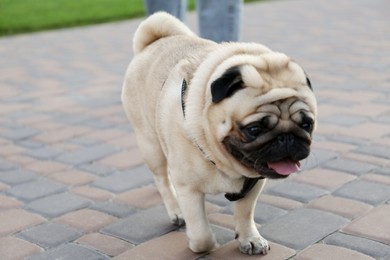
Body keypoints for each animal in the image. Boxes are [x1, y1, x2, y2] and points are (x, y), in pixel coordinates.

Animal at [122, 11, 316, 254]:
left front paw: (249, 238)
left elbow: (244, 214)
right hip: (151, 145)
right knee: (162, 180)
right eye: (254, 129)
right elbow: (200, 234)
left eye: (307, 124)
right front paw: (204, 246)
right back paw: (176, 211)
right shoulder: (188, 189)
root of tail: (154, 41)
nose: (287, 137)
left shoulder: (253, 184)